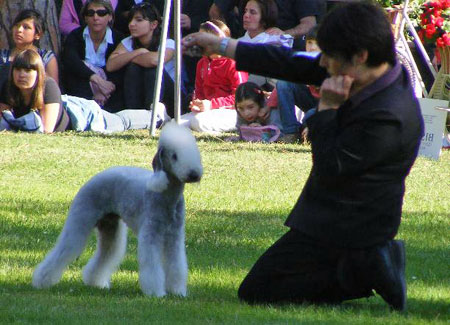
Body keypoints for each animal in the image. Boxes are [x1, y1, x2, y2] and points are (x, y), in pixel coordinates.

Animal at [30, 121, 202, 296]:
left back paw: (95, 282)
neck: (168, 196)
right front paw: (156, 293)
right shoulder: (151, 235)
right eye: (174, 156)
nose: (194, 174)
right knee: (64, 249)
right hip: (80, 218)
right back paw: (41, 281)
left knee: (106, 253)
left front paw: (177, 292)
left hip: (109, 226)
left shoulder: (175, 237)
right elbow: (152, 266)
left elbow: (176, 264)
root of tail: (93, 178)